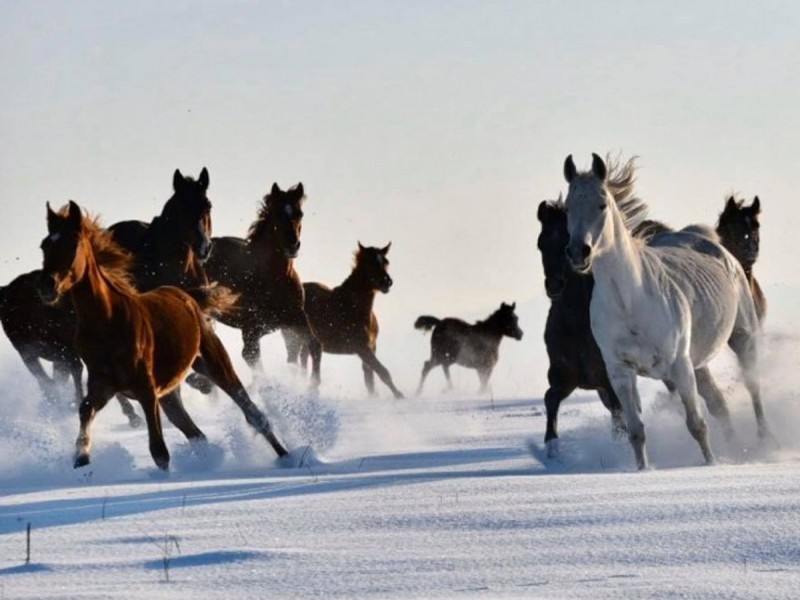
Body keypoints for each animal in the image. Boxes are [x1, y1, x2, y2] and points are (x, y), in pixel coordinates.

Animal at [38, 201, 289, 470]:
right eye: (45, 245)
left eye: (73, 244)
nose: (47, 286)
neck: (108, 322)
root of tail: (188, 297)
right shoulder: (103, 385)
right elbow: (85, 409)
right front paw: (81, 456)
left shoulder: (146, 390)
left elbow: (159, 451)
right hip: (170, 394)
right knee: (196, 434)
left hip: (214, 365)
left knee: (252, 413)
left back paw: (287, 457)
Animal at [204, 182, 309, 374]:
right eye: (277, 214)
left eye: (299, 213)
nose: (292, 245)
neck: (275, 279)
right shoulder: (251, 331)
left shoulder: (294, 323)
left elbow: (295, 357)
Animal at [297, 242, 404, 399]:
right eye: (369, 263)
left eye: (386, 262)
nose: (386, 282)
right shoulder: (362, 348)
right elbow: (382, 372)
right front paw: (399, 396)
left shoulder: (371, 347)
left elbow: (370, 380)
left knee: (304, 359)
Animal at [562, 153, 769, 469]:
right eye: (568, 208)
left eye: (602, 204)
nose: (578, 253)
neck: (630, 301)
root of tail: (708, 241)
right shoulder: (620, 372)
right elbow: (636, 431)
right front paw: (643, 470)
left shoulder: (679, 366)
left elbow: (697, 425)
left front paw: (711, 465)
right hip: (699, 362)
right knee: (719, 404)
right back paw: (736, 448)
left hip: (741, 337)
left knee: (752, 386)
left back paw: (764, 440)